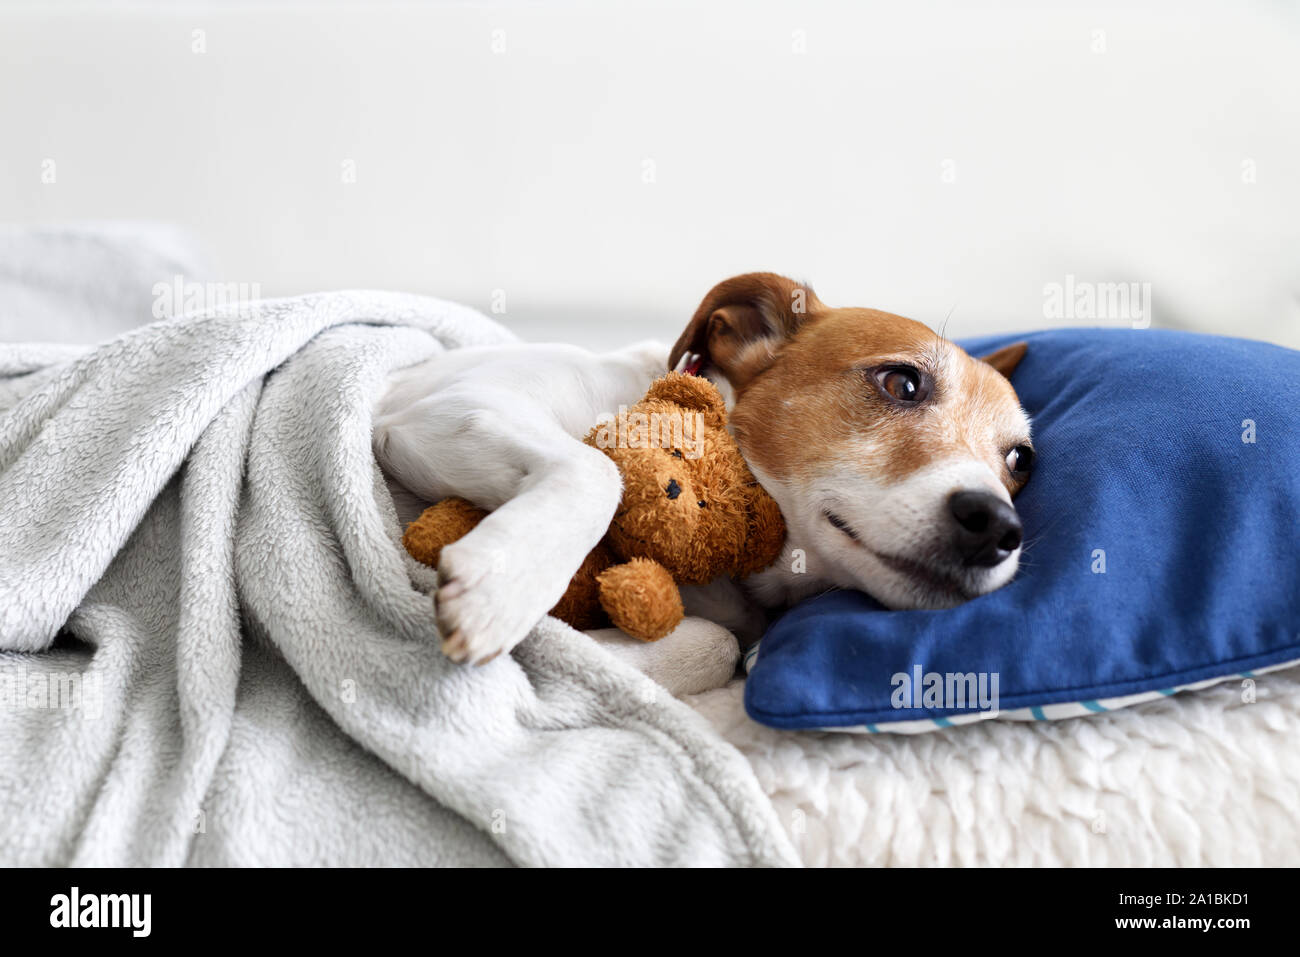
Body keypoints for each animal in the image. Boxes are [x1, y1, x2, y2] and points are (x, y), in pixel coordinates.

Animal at [377, 274, 1034, 686]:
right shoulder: (444, 411)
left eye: (1020, 461)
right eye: (902, 382)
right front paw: (501, 589)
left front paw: (595, 653)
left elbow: (717, 645)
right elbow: (597, 471)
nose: (996, 527)